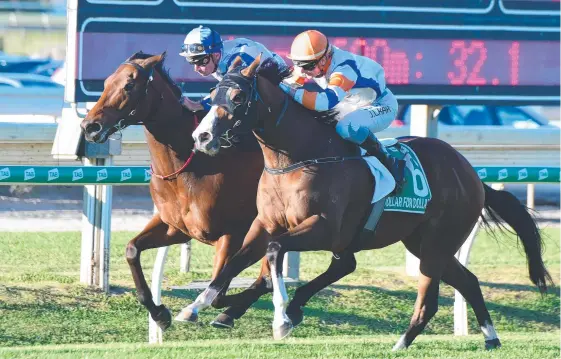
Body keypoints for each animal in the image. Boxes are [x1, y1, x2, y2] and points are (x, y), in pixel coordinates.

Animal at [79, 52, 272, 332]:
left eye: (129, 85)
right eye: (105, 82)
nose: (89, 126)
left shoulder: (232, 233)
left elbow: (219, 292)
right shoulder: (176, 228)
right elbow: (132, 250)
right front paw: (160, 313)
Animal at [187, 56, 552, 352]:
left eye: (238, 97)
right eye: (212, 96)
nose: (201, 137)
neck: (297, 158)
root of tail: (471, 174)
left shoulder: (325, 228)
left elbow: (275, 252)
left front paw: (281, 320)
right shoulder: (267, 223)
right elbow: (236, 260)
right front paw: (199, 304)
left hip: (436, 243)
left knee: (428, 300)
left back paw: (401, 342)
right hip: (423, 243)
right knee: (468, 282)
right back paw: (490, 337)